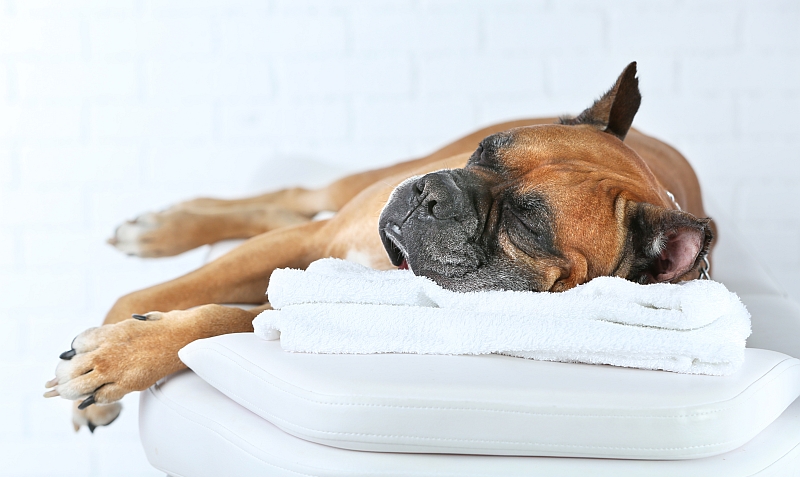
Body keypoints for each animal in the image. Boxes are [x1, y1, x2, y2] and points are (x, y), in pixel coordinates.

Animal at [43, 63, 712, 432]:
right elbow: (171, 291)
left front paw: (121, 355)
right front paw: (113, 339)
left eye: (528, 223)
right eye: (486, 153)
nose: (433, 192)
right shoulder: (311, 240)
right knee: (297, 196)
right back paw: (163, 229)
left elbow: (214, 316)